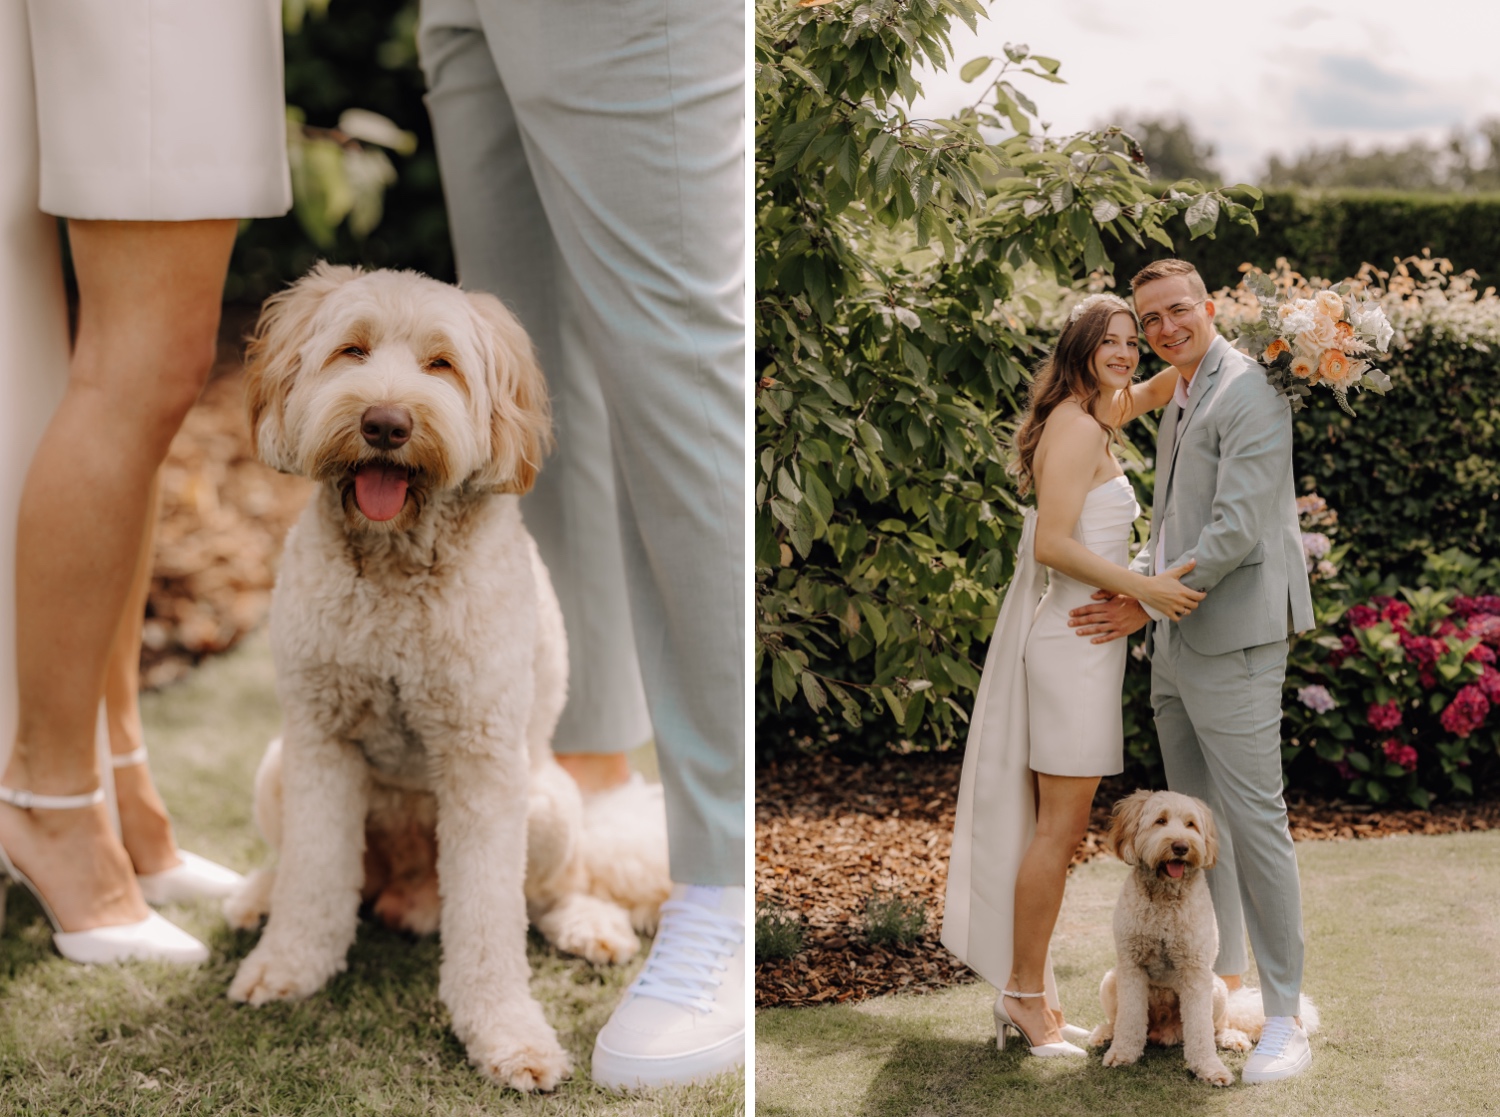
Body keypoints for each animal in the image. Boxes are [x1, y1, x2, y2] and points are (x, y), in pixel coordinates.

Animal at [222, 263, 669, 1091]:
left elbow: (491, 921)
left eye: (442, 365)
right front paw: (287, 964)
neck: (395, 566)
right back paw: (261, 895)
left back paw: (585, 921)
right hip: (276, 766)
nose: (386, 423)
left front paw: (508, 1035)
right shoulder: (320, 741)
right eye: (352, 350)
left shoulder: (481, 760)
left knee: (553, 885)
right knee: (312, 868)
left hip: (546, 803)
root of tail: (406, 885)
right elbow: (314, 875)